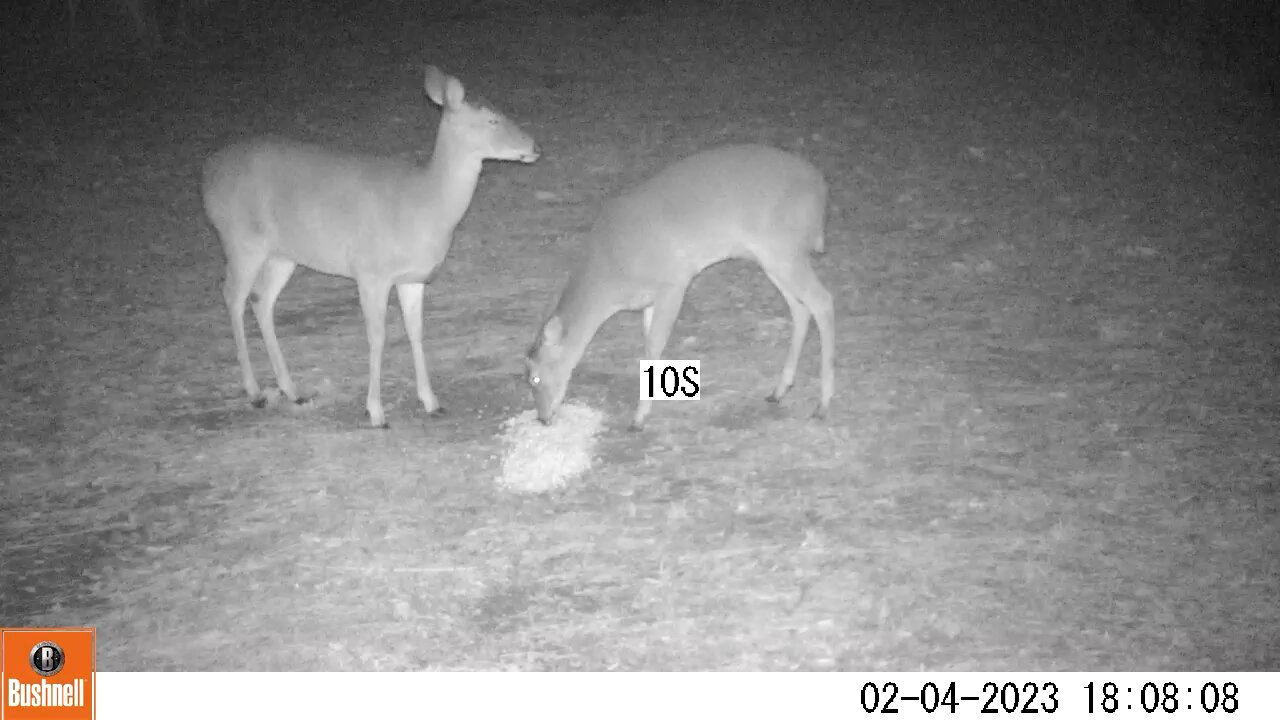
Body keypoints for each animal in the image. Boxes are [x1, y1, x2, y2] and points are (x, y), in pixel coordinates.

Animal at [202, 65, 539, 428]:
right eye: (491, 119)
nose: (534, 145)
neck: (425, 205)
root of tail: (206, 176)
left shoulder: (413, 278)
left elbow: (416, 331)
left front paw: (431, 401)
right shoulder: (370, 272)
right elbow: (377, 337)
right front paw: (376, 412)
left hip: (283, 254)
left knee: (260, 299)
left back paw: (293, 391)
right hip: (241, 239)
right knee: (232, 296)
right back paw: (254, 392)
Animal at [524, 144, 835, 431]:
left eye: (534, 378)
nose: (542, 418)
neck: (610, 273)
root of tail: (820, 185)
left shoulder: (674, 282)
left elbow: (653, 347)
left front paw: (638, 418)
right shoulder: (649, 300)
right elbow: (648, 344)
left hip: (783, 248)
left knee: (822, 301)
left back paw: (823, 404)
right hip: (773, 258)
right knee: (801, 309)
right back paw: (779, 390)